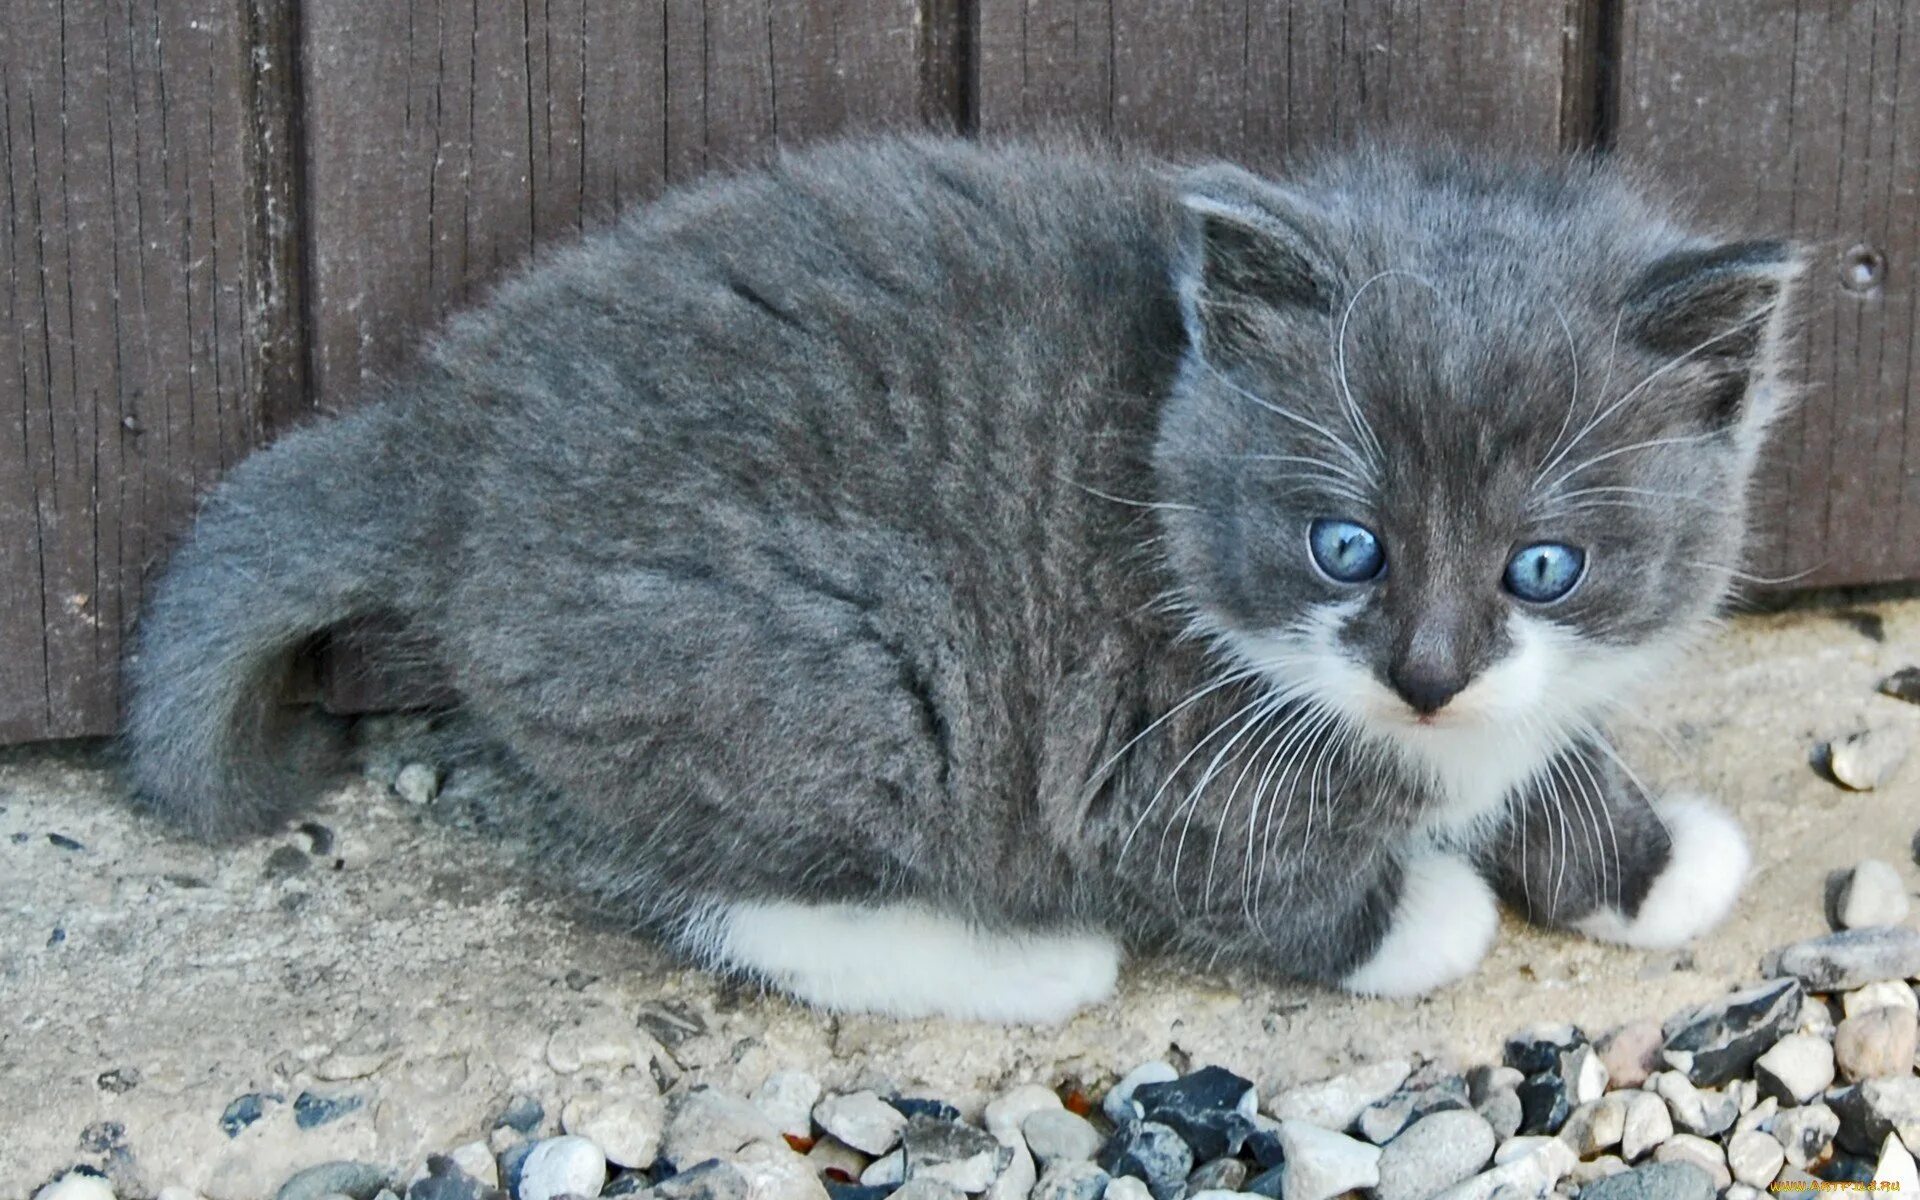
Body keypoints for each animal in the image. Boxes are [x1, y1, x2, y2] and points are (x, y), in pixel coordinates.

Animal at [131, 138, 1797, 1021]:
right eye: (1348, 545)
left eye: (1544, 565)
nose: (1429, 674)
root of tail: (449, 435)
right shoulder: (1152, 757)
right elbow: (1261, 876)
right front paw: (1432, 910)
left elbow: (1545, 747)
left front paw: (1644, 861)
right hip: (799, 678)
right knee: (715, 884)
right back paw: (1019, 959)